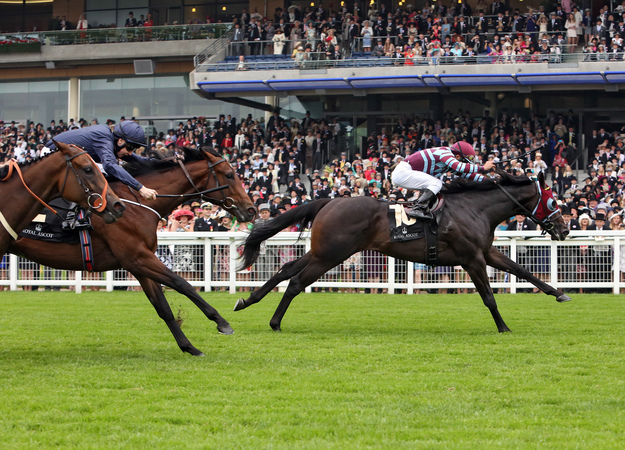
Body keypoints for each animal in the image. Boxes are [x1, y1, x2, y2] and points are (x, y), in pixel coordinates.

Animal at [7, 146, 256, 356]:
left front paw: (189, 347)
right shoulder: (137, 257)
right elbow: (182, 283)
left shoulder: (139, 263)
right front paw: (221, 322)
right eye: (229, 175)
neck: (134, 205)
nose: (251, 209)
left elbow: (162, 306)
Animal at [235, 172, 572, 334]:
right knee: (295, 282)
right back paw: (274, 322)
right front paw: (503, 327)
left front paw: (559, 293)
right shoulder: (472, 258)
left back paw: (247, 300)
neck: (474, 208)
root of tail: (328, 202)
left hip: (323, 251)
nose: (565, 230)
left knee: (286, 270)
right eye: (552, 201)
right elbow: (489, 297)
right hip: (330, 255)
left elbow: (522, 270)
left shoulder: (485, 253)